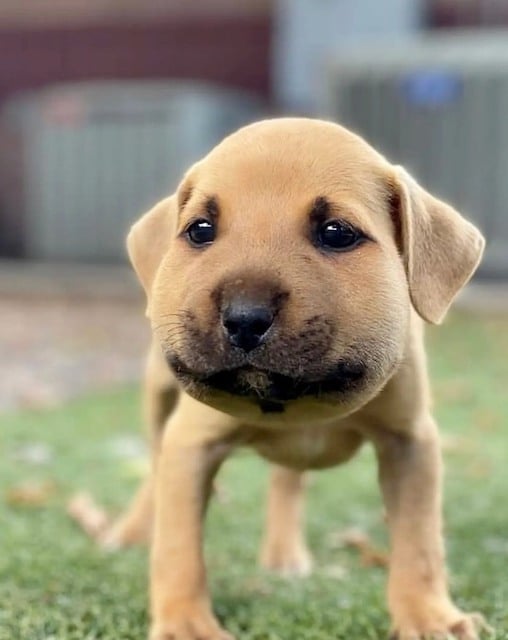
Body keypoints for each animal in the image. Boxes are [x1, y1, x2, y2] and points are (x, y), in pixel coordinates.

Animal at [108, 120, 488, 640]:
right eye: (200, 230)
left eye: (336, 233)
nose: (244, 318)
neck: (302, 402)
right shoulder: (191, 442)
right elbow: (177, 544)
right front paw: (185, 622)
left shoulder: (410, 443)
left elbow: (420, 540)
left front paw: (428, 615)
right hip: (157, 398)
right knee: (153, 465)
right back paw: (131, 530)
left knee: (286, 479)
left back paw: (284, 553)